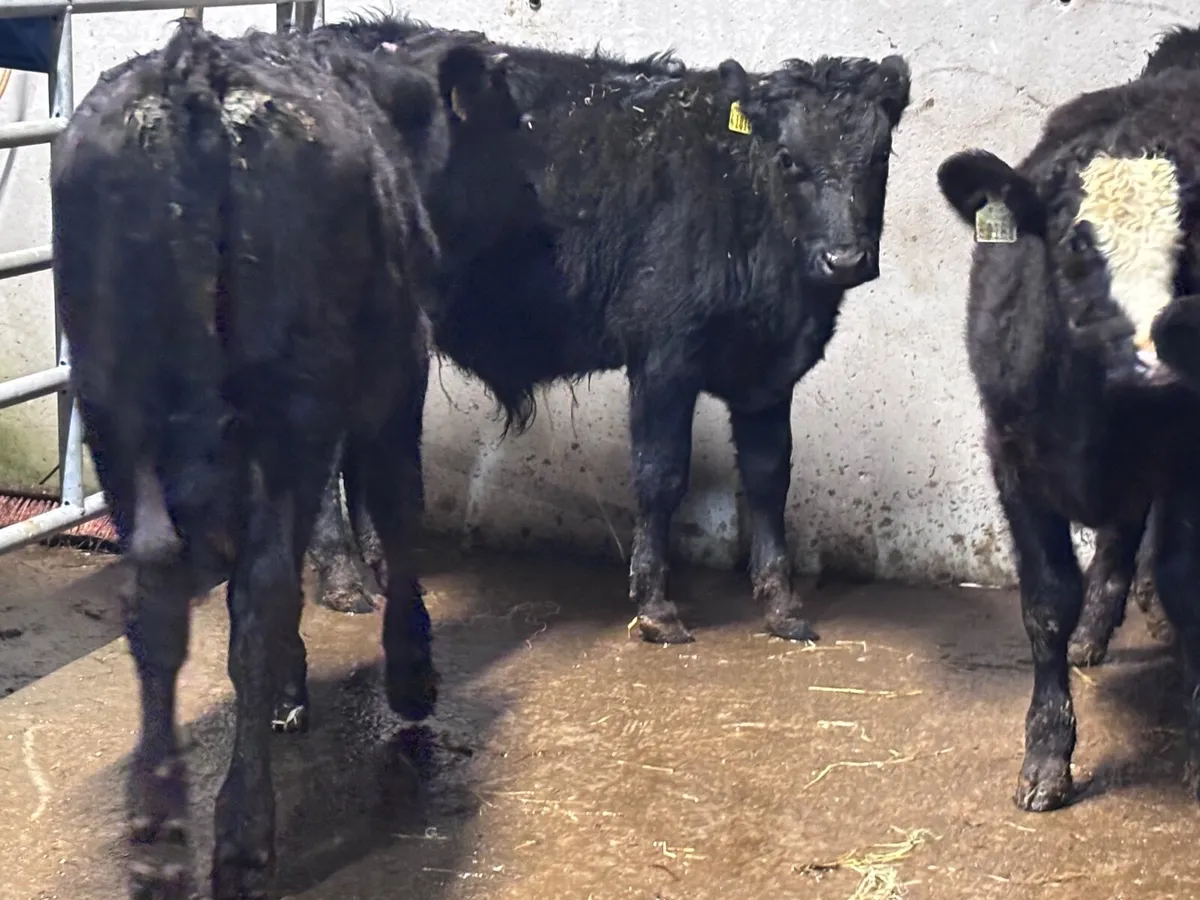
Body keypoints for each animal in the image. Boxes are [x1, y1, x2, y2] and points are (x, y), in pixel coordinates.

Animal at [53, 19, 540, 898]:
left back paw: (157, 832)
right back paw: (244, 837)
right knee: (263, 593)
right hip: (292, 395)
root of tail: (195, 71)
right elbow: (396, 509)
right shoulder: (398, 371)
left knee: (158, 596)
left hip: (116, 404)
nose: (537, 215)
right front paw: (410, 671)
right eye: (511, 122)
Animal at [305, 13, 913, 646]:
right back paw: (344, 579)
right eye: (790, 159)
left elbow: (770, 477)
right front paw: (655, 606)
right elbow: (661, 474)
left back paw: (379, 569)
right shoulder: (664, 355)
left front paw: (783, 605)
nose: (845, 259)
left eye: (880, 155)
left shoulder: (770, 371)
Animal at [936, 45, 1200, 812]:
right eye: (1076, 242)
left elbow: (1185, 584)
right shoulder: (1011, 457)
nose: (1156, 366)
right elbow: (1048, 600)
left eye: (1195, 238)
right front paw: (1047, 756)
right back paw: (1094, 631)